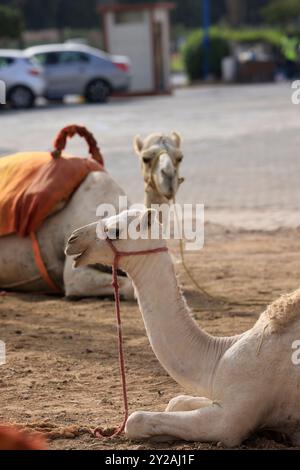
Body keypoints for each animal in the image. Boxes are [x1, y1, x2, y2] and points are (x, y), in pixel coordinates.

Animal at [66, 210, 300, 448]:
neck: (217, 356)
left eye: (115, 231)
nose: (73, 239)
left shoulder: (232, 418)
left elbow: (136, 420)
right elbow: (176, 401)